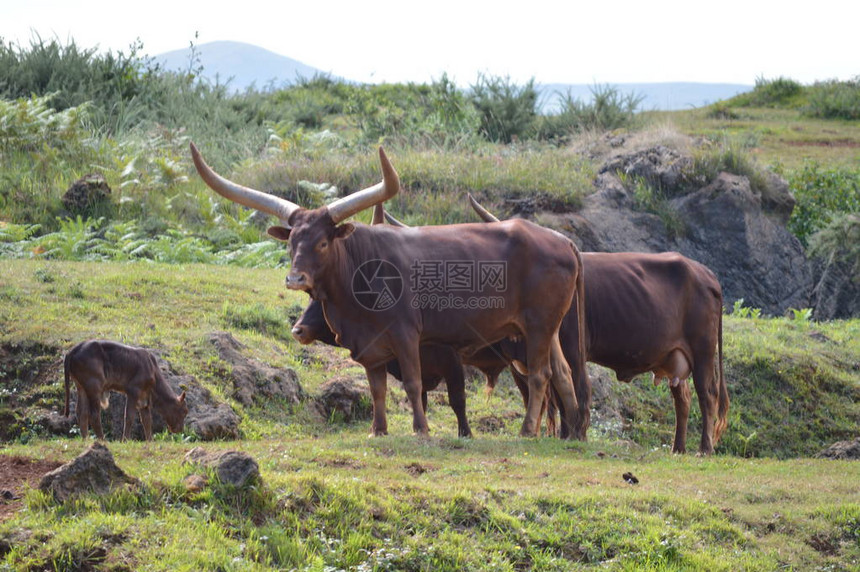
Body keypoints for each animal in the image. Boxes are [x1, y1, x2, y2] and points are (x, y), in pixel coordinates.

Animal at [464, 197, 724, 456]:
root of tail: (705, 273)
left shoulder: (572, 350)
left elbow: (574, 390)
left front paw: (575, 435)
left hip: (702, 352)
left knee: (708, 395)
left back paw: (705, 448)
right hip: (674, 358)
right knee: (683, 398)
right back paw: (678, 448)